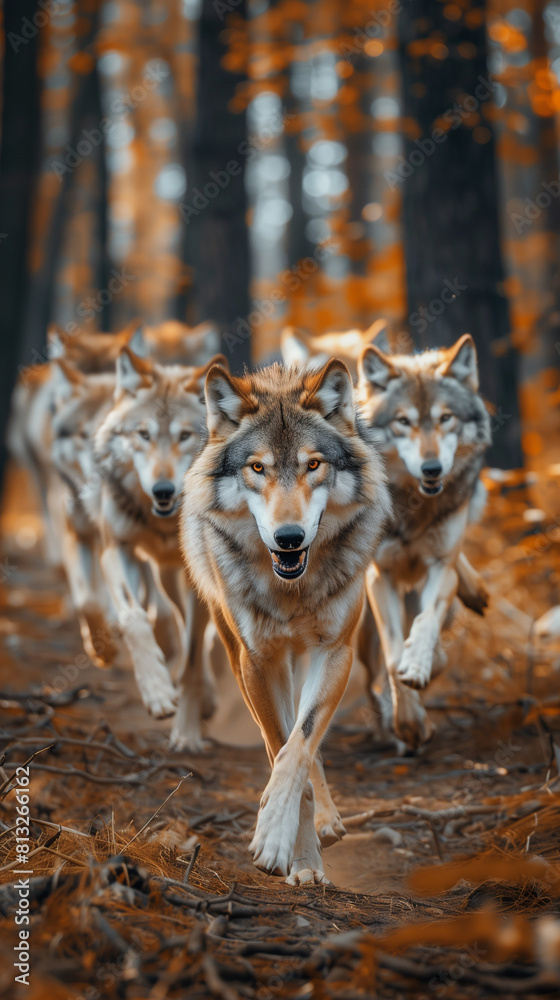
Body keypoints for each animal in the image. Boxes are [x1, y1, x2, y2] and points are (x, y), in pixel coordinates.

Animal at [92, 347, 225, 748]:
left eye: (184, 436)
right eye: (143, 435)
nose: (163, 490)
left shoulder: (201, 577)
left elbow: (194, 658)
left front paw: (187, 734)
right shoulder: (116, 550)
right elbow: (134, 620)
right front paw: (157, 692)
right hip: (163, 573)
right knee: (169, 618)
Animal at [181, 360, 391, 883]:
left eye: (313, 465)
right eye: (258, 468)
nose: (289, 537)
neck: (291, 589)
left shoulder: (335, 650)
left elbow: (300, 745)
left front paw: (287, 841)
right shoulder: (257, 661)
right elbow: (281, 746)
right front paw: (293, 855)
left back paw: (329, 821)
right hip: (238, 650)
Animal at [356, 334, 491, 748]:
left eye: (446, 418)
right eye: (404, 422)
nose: (432, 469)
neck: (412, 507)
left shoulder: (439, 568)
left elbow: (426, 622)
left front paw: (417, 666)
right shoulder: (379, 576)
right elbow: (391, 656)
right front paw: (409, 722)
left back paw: (474, 592)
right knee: (371, 679)